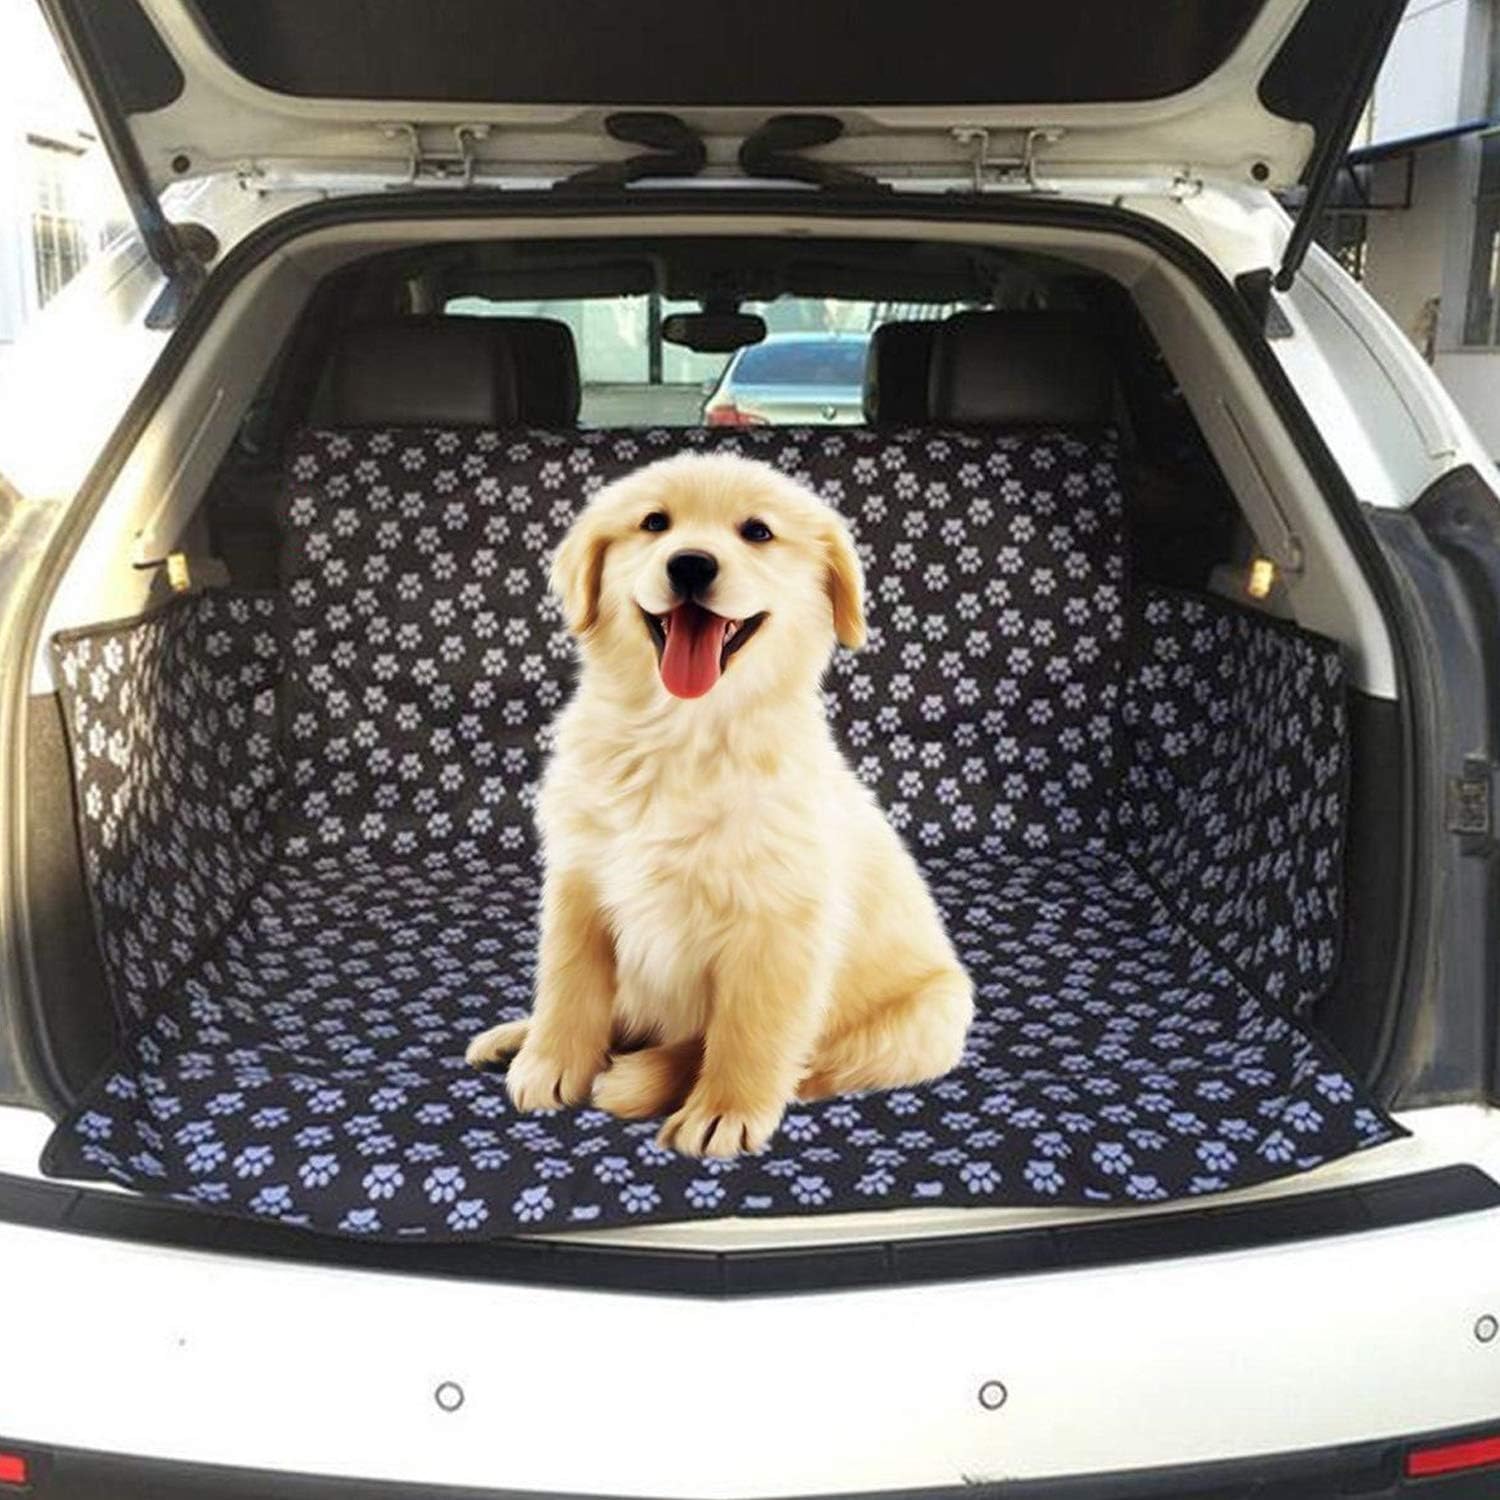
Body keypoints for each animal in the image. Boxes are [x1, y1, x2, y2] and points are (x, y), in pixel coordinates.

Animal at [466, 451, 972, 1158]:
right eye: (655, 523)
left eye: (757, 532)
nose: (690, 565)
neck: (680, 734)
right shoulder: (580, 881)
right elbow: (569, 982)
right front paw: (551, 1061)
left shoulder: (777, 918)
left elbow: (747, 1029)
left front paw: (723, 1112)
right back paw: (520, 1036)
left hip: (930, 1018)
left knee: (808, 1061)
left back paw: (644, 1075)